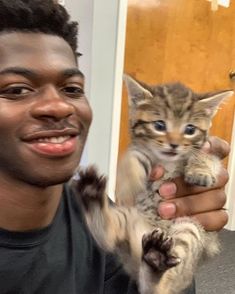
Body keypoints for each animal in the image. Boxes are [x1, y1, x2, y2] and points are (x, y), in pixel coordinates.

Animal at [74, 76, 232, 294]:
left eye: (190, 130)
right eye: (159, 125)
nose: (174, 145)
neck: (167, 162)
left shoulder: (211, 152)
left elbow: (204, 155)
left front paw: (199, 171)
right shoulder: (140, 150)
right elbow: (134, 157)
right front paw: (127, 184)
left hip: (188, 229)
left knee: (160, 286)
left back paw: (156, 260)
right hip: (129, 216)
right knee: (109, 236)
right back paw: (93, 196)